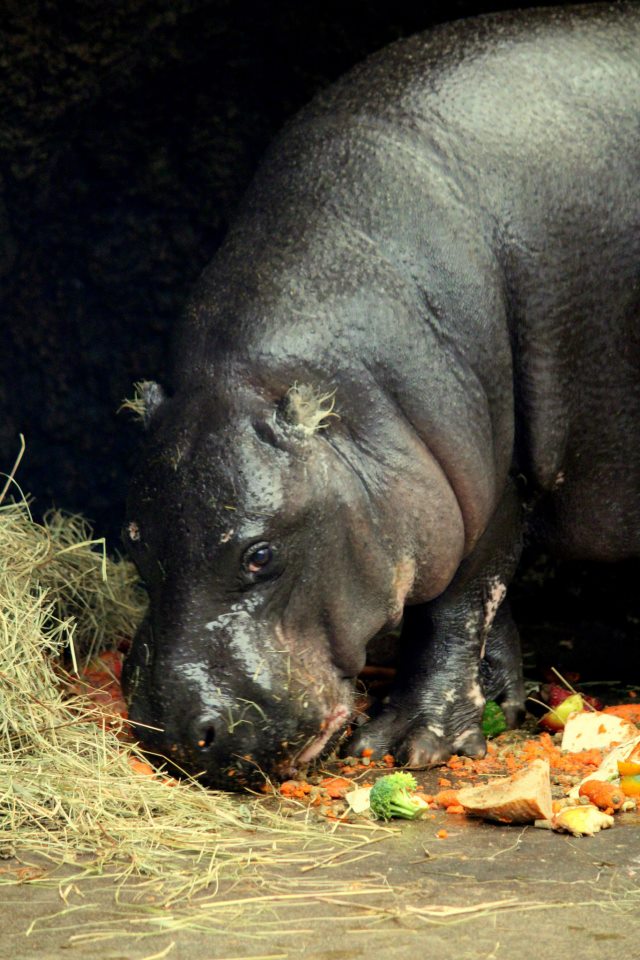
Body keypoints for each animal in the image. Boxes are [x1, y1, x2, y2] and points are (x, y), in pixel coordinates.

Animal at [122, 3, 640, 789]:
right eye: (133, 538)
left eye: (260, 556)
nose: (175, 735)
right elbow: (490, 613)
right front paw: (498, 701)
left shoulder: (496, 479)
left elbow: (462, 604)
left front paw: (414, 744)